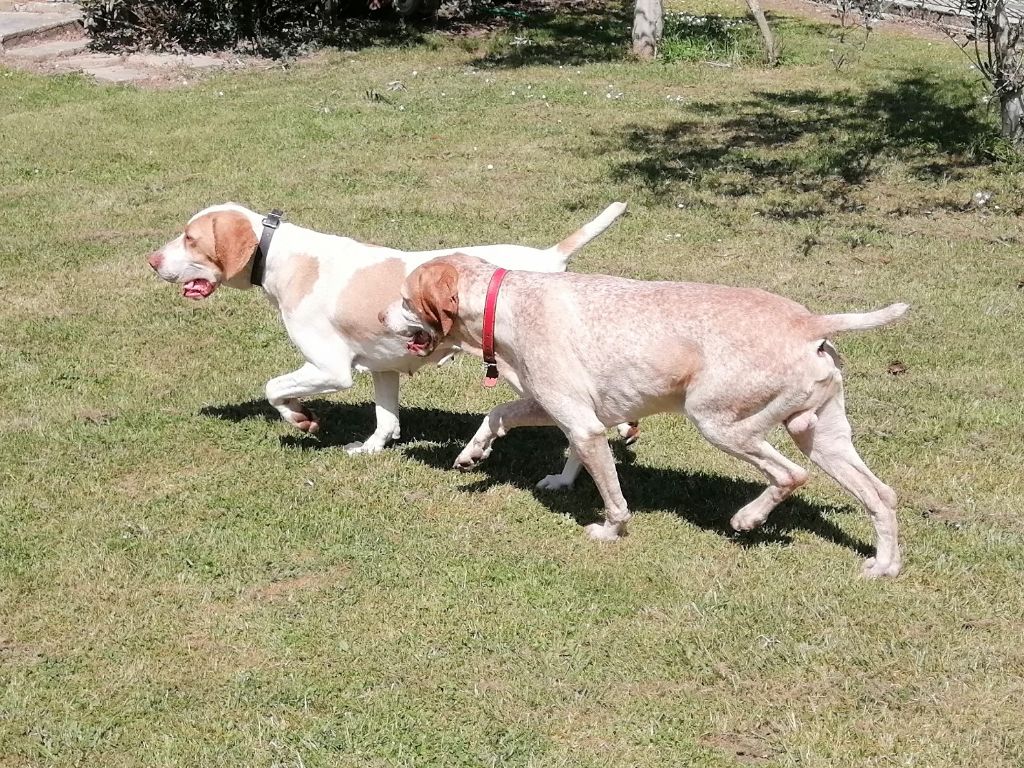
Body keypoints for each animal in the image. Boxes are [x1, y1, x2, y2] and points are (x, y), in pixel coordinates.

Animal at [385, 252, 913, 577]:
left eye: (406, 299)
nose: (378, 316)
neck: (506, 301)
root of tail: (808, 321)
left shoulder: (583, 422)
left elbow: (613, 496)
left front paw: (609, 531)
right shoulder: (566, 413)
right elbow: (501, 415)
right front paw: (480, 456)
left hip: (719, 422)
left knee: (791, 475)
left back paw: (748, 518)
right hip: (822, 438)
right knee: (881, 495)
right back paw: (884, 566)